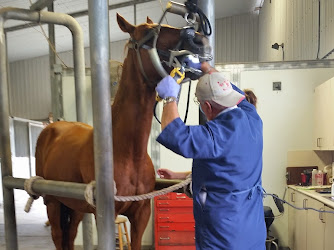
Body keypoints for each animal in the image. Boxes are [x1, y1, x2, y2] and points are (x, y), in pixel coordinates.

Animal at [36, 14, 209, 250]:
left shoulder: (141, 214)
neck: (128, 153)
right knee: (57, 236)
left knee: (69, 236)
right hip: (53, 202)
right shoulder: (106, 216)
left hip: (75, 205)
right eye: (151, 32)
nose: (199, 40)